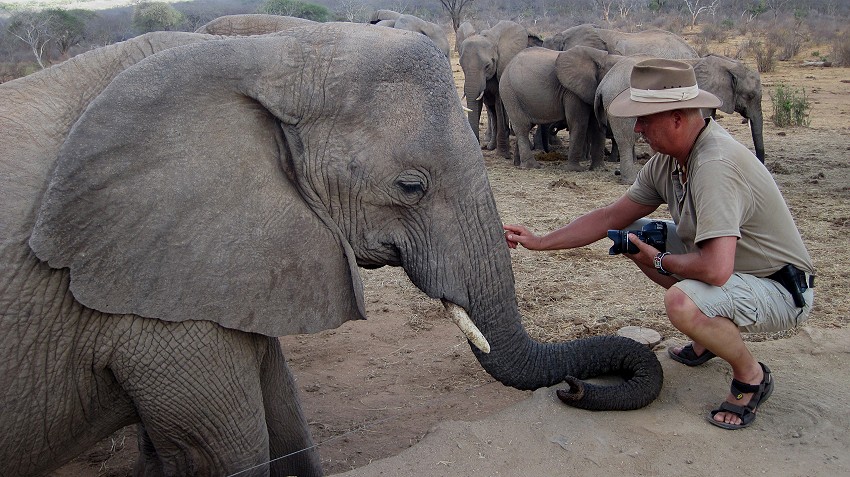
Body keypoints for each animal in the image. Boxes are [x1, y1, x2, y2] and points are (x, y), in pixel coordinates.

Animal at [458, 20, 528, 156]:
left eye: (487, 66)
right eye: (462, 65)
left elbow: (499, 102)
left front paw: (503, 154)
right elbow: (478, 103)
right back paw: (491, 146)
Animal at [496, 44, 624, 170]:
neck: (603, 58)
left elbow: (596, 125)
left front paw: (599, 169)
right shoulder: (572, 91)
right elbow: (579, 122)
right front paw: (576, 169)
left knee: (526, 126)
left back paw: (518, 164)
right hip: (509, 93)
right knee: (522, 127)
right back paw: (532, 166)